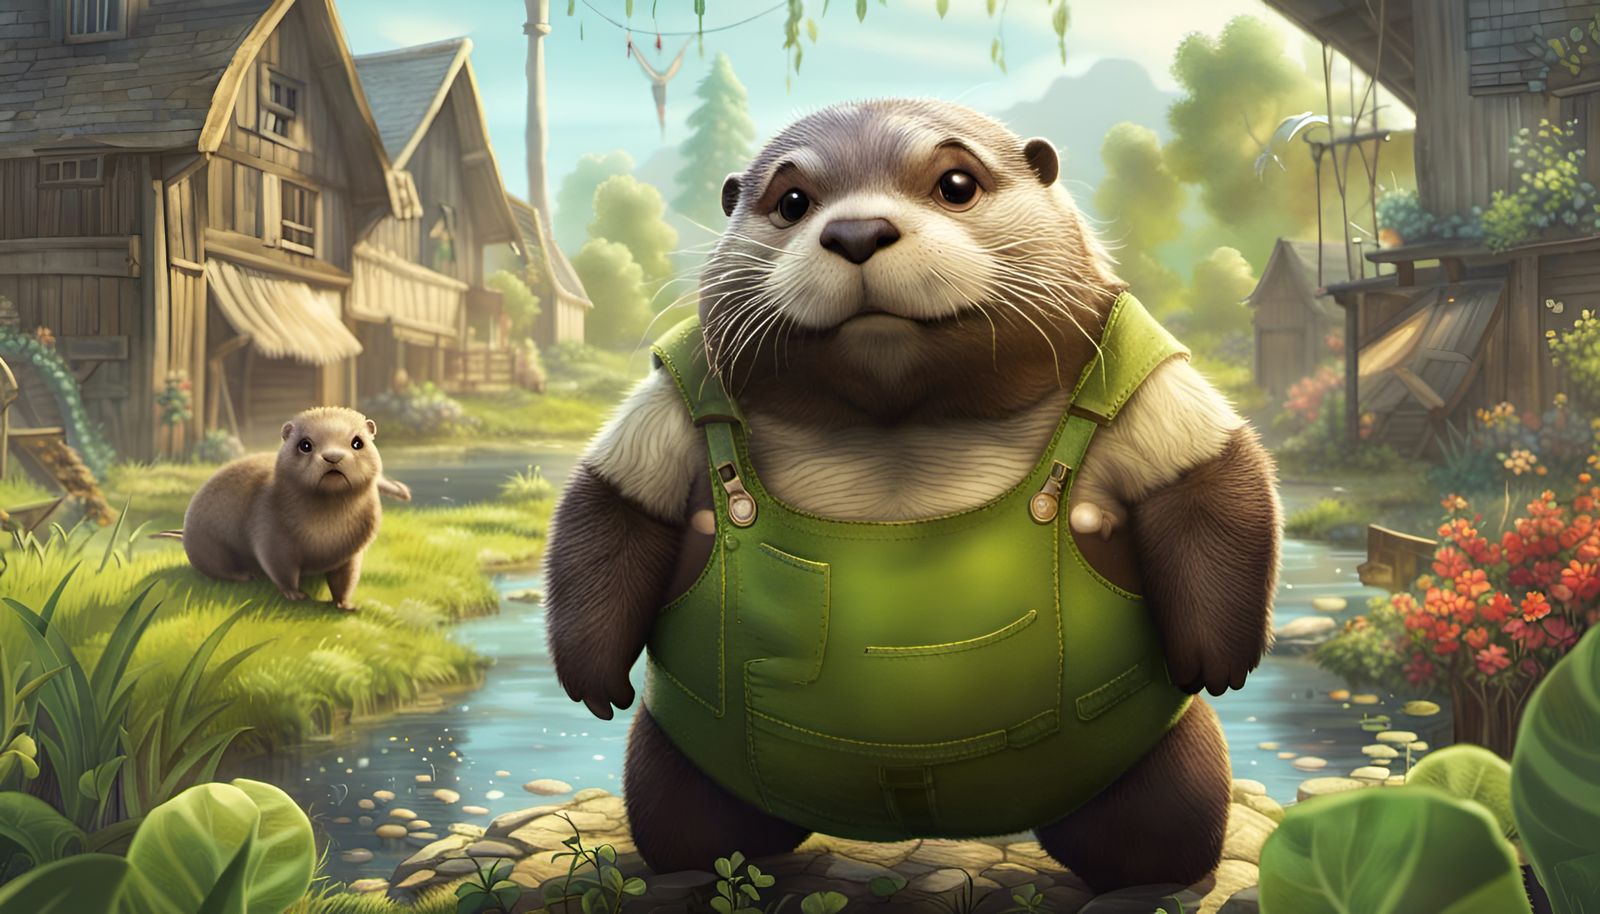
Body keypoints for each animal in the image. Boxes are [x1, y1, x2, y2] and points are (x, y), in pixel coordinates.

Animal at [180, 407, 410, 610]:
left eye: (357, 442)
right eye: (305, 445)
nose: (333, 456)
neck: (326, 531)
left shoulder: (351, 553)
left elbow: (346, 579)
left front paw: (345, 604)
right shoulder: (270, 532)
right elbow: (281, 569)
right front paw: (295, 594)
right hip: (209, 546)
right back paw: (244, 575)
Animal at [542, 100, 1279, 892]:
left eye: (956, 183)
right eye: (792, 201)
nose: (857, 232)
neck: (900, 424)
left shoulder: (1137, 360)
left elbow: (1216, 474)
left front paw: (1215, 661)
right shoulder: (682, 378)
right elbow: (609, 502)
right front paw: (592, 679)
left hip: (1155, 760)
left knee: (1162, 814)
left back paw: (1155, 871)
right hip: (681, 753)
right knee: (685, 812)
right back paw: (710, 858)